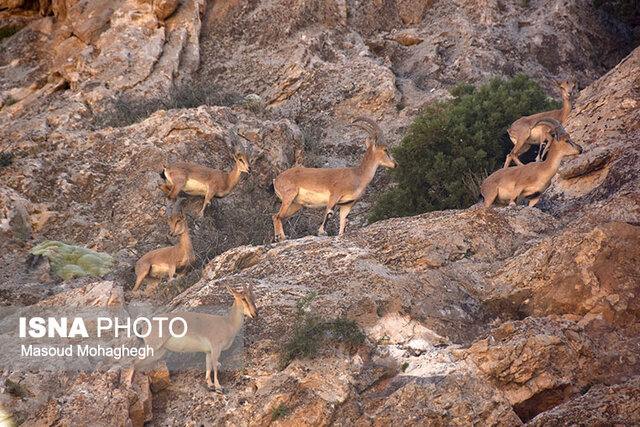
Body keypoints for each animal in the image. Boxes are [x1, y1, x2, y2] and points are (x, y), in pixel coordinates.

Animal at [125, 284, 258, 394]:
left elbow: (208, 366)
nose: (255, 314)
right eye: (243, 298)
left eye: (253, 297)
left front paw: (210, 385)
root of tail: (144, 325)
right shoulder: (216, 348)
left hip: (159, 351)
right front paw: (219, 388)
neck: (228, 323)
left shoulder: (208, 351)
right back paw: (129, 386)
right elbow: (215, 366)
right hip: (152, 346)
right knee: (134, 360)